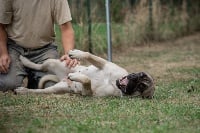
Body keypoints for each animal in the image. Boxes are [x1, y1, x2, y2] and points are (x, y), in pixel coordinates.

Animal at [15, 49, 155, 98]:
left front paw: (77, 76)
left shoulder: (88, 93)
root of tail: (61, 78)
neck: (113, 83)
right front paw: (77, 53)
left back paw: (23, 90)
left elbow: (87, 81)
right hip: (54, 63)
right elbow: (89, 55)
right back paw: (24, 60)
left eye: (141, 86)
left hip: (56, 88)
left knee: (40, 91)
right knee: (40, 66)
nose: (134, 78)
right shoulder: (104, 64)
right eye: (141, 75)